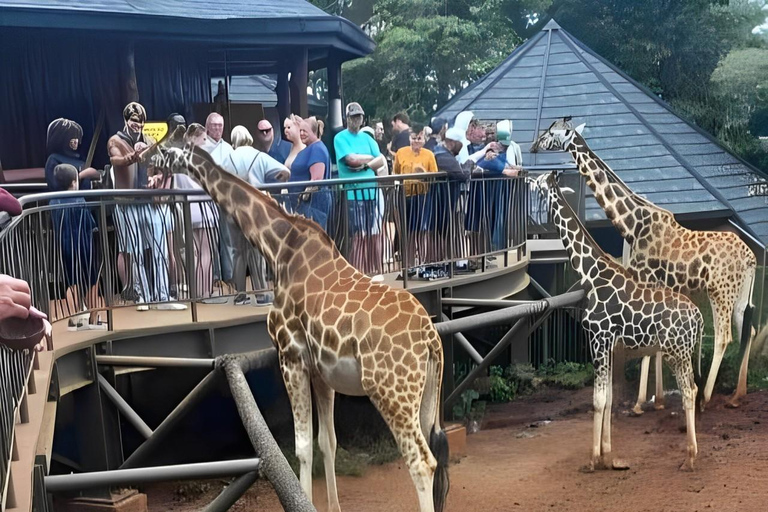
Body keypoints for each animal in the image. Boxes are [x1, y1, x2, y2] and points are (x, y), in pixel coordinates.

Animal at [148, 128, 450, 512]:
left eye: (166, 148)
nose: (145, 163)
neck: (278, 248)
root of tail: (430, 337)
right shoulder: (322, 371)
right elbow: (327, 443)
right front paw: (333, 507)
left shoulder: (289, 356)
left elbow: (302, 447)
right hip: (425, 395)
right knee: (433, 451)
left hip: (391, 392)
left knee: (421, 462)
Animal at [532, 118, 760, 410]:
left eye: (552, 131)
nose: (533, 145)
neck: (633, 224)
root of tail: (751, 257)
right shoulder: (657, 286)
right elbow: (656, 344)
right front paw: (657, 399)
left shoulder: (644, 277)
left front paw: (640, 402)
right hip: (740, 293)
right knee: (748, 328)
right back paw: (737, 395)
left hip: (720, 290)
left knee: (723, 336)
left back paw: (708, 397)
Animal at [540, 172, 704, 472]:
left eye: (538, 182)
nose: (529, 181)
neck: (590, 272)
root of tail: (698, 317)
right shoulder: (609, 345)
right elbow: (609, 398)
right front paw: (609, 457)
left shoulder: (597, 338)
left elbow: (598, 399)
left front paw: (592, 460)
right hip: (684, 352)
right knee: (694, 388)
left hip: (676, 352)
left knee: (688, 391)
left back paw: (689, 458)